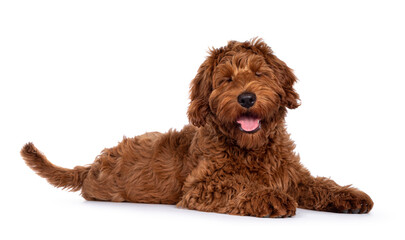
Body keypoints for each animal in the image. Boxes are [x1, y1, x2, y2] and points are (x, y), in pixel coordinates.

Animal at [19, 38, 372, 217]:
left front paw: (348, 195)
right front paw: (268, 197)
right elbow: (238, 185)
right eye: (226, 80)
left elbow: (318, 183)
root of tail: (93, 164)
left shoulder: (291, 175)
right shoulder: (201, 186)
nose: (246, 98)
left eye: (259, 74)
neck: (252, 148)